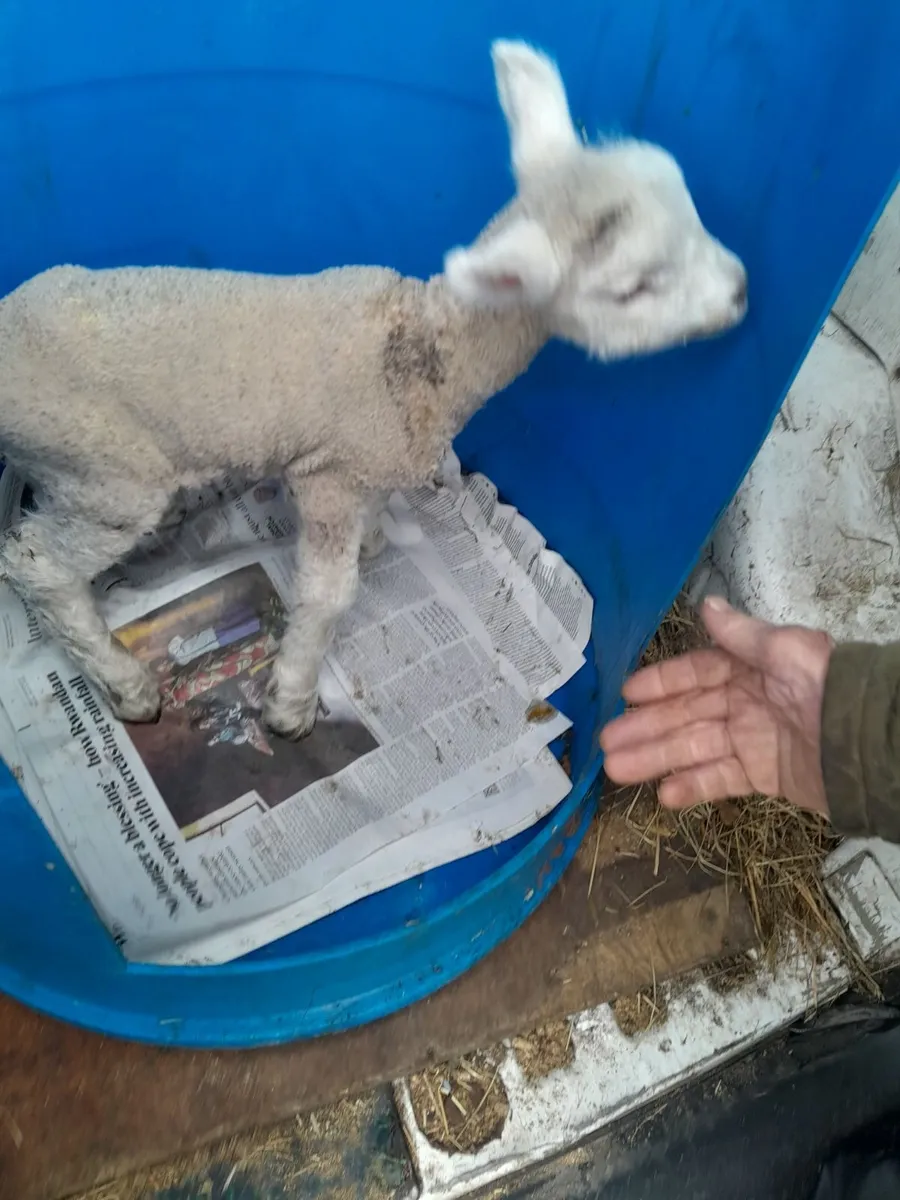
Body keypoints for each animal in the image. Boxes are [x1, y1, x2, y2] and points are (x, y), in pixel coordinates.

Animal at [0, 39, 748, 741]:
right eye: (633, 288)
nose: (742, 291)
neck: (428, 348)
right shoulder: (328, 477)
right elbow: (329, 595)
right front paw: (291, 703)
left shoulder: (367, 460)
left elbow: (375, 514)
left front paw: (375, 541)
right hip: (105, 476)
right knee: (35, 563)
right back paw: (128, 685)